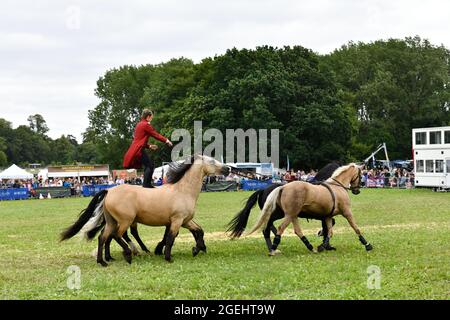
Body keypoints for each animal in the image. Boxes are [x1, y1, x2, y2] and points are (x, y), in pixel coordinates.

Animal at [60, 154, 229, 264]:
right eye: (212, 161)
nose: (227, 169)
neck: (182, 191)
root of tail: (109, 191)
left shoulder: (186, 220)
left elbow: (199, 231)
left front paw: (198, 249)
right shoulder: (177, 220)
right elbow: (171, 238)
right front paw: (168, 257)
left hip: (112, 221)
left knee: (103, 237)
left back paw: (104, 261)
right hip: (125, 220)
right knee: (117, 235)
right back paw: (129, 254)